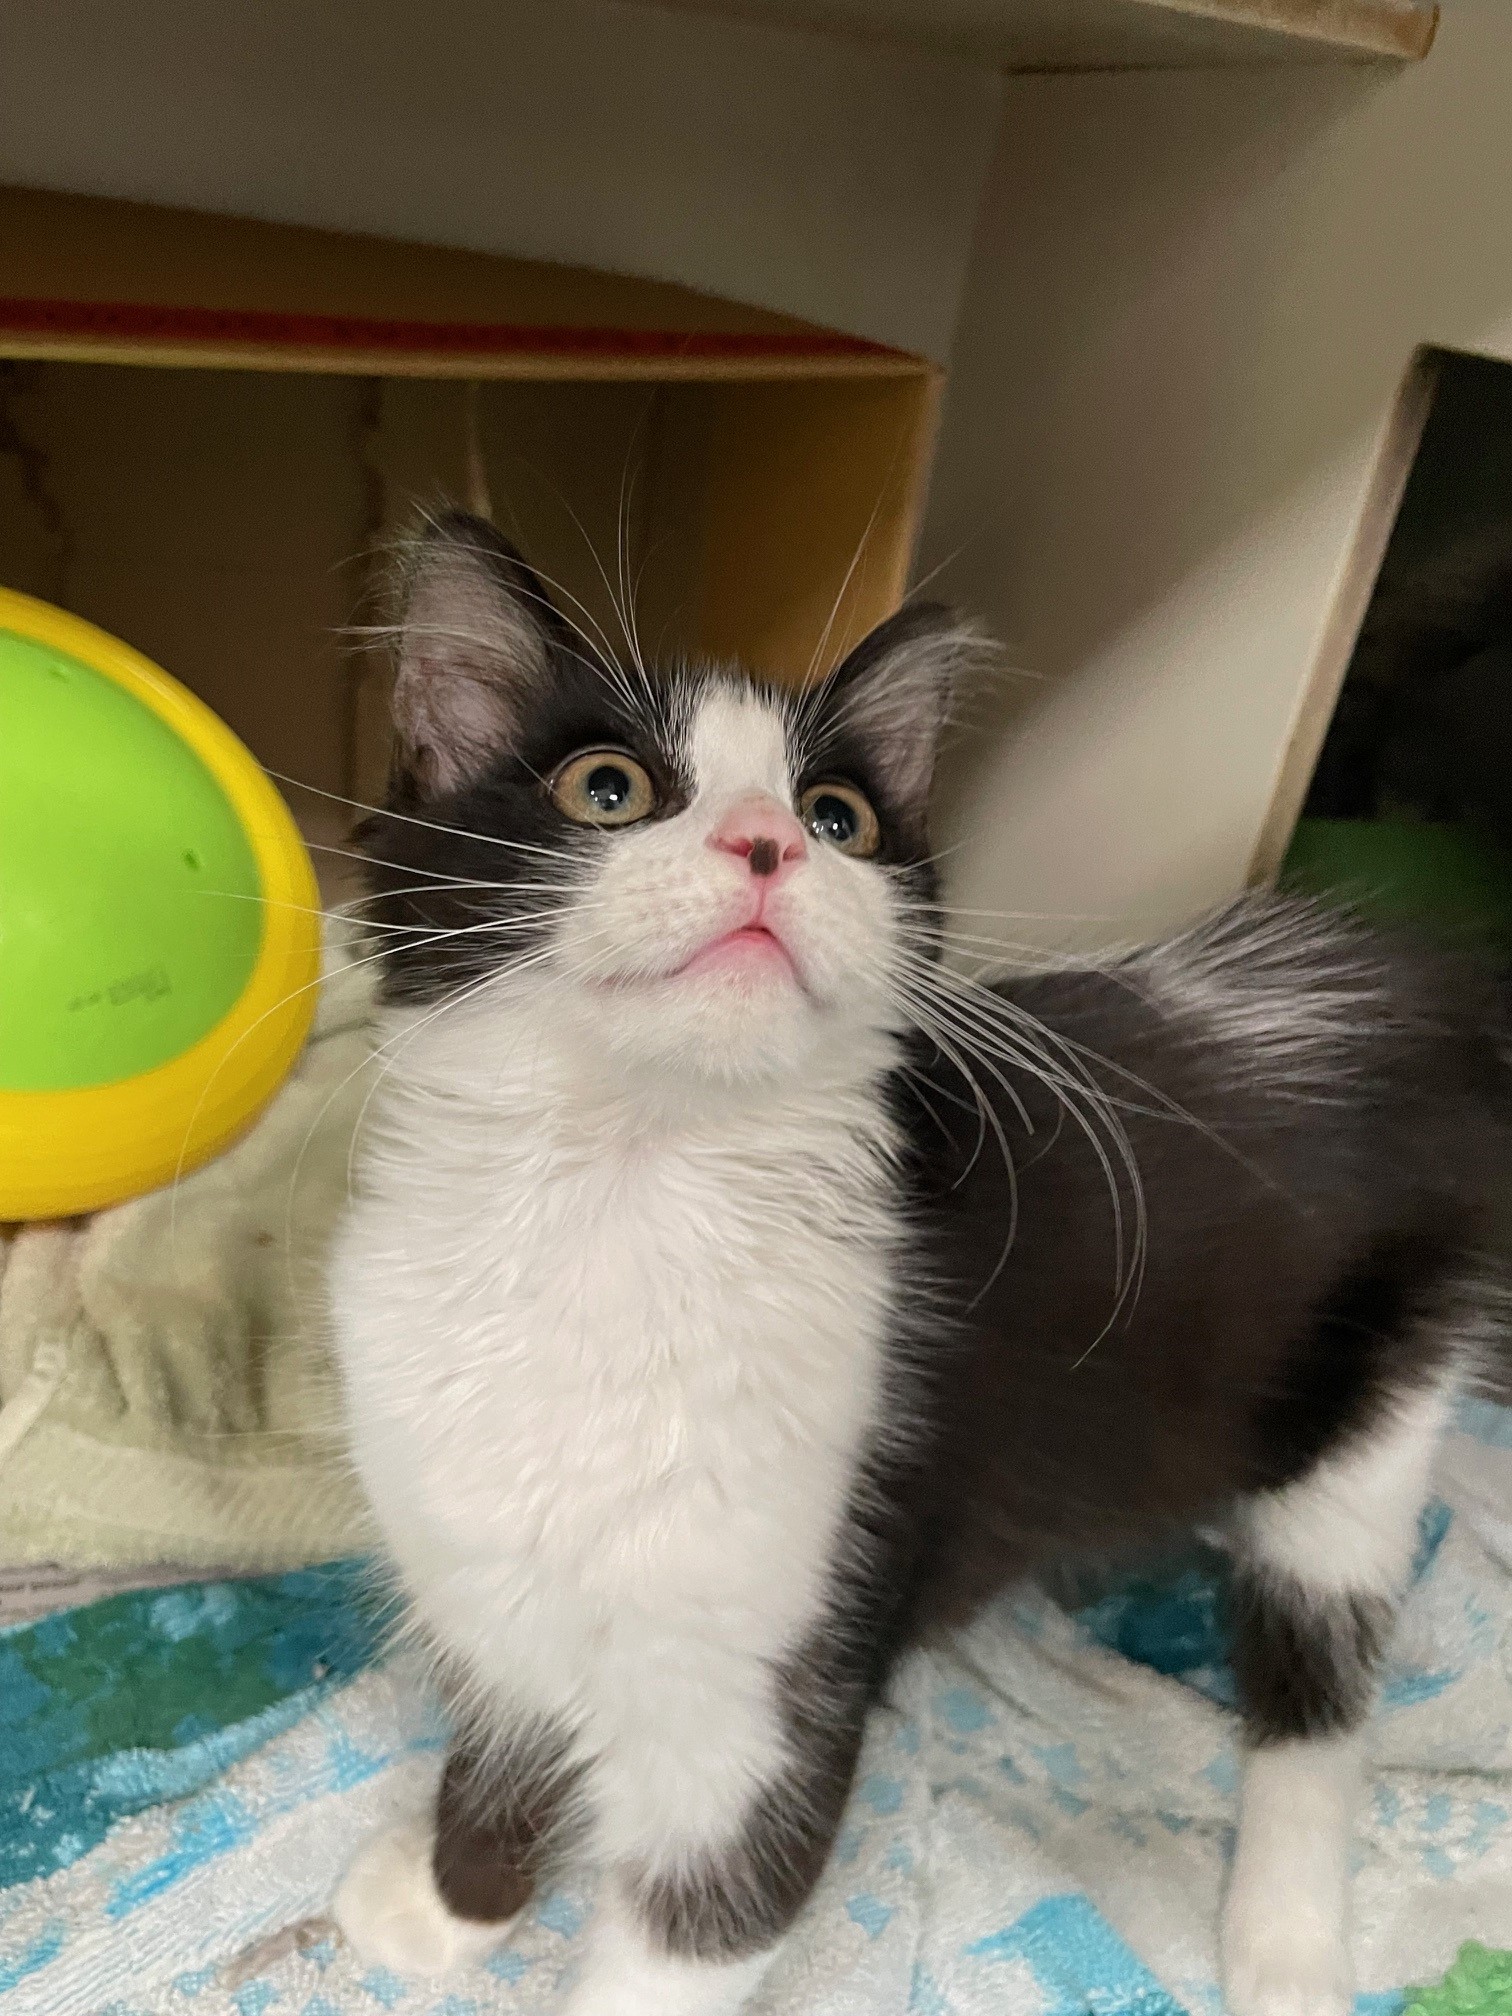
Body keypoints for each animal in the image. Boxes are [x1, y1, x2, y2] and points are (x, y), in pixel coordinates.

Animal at [329, 508, 1511, 2016]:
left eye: (841, 818)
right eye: (608, 789)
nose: (771, 844)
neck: (619, 1204)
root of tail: (1413, 968)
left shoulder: (771, 1696)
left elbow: (689, 1935)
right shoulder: (478, 1569)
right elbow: (498, 1746)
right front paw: (448, 1908)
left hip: (1376, 1402)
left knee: (1322, 1680)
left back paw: (1284, 1944)